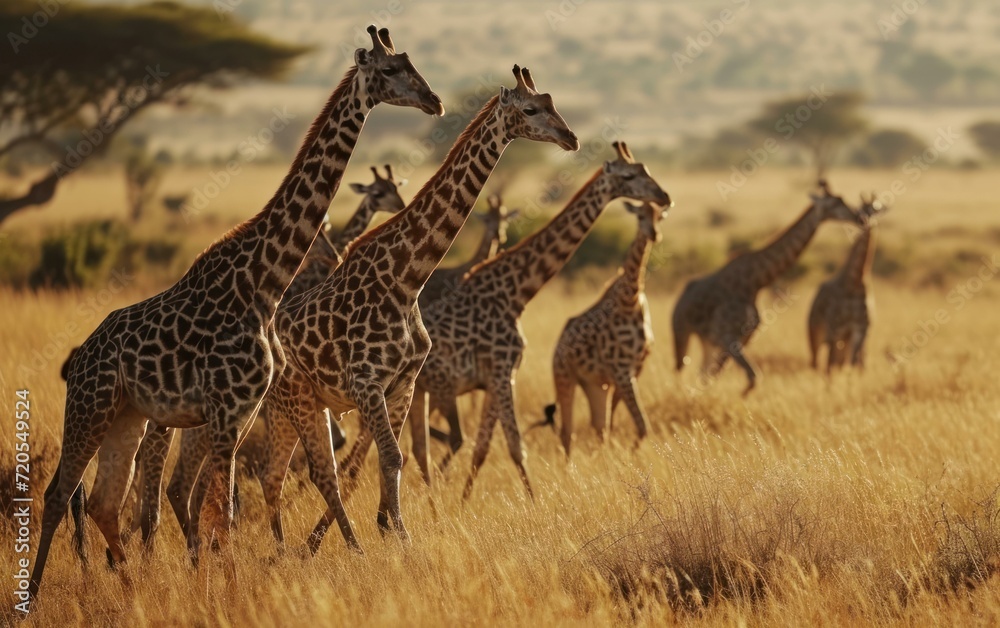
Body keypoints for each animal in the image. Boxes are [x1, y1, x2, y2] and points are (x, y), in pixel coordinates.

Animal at [28, 26, 443, 601]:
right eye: (388, 71)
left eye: (411, 63)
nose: (434, 101)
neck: (264, 281)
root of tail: (78, 359)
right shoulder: (225, 408)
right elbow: (220, 508)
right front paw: (227, 589)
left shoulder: (243, 410)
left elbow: (217, 506)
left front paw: (218, 581)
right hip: (90, 409)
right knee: (57, 493)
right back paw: (34, 597)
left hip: (127, 416)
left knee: (104, 503)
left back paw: (132, 589)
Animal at [263, 65, 579, 552]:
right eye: (530, 110)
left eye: (552, 102)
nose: (571, 138)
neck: (407, 279)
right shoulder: (368, 383)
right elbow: (392, 456)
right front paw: (400, 538)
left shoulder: (404, 384)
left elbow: (397, 458)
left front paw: (389, 527)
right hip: (297, 399)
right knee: (317, 471)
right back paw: (337, 548)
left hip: (294, 406)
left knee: (274, 474)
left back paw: (281, 552)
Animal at [545, 201, 671, 456]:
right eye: (640, 216)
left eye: (660, 217)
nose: (654, 234)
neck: (630, 299)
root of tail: (558, 346)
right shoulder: (621, 370)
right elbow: (642, 425)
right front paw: (630, 455)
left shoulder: (634, 369)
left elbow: (618, 424)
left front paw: (624, 455)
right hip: (563, 376)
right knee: (567, 432)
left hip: (595, 384)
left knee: (598, 426)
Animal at [671, 180, 862, 395]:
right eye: (835, 203)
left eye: (843, 200)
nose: (859, 217)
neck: (756, 281)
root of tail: (682, 295)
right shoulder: (726, 335)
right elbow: (753, 377)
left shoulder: (741, 337)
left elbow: (746, 377)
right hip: (681, 331)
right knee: (680, 369)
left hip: (707, 340)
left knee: (702, 372)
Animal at [808, 193, 886, 372]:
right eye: (860, 208)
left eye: (876, 210)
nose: (864, 220)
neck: (855, 283)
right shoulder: (835, 329)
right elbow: (831, 366)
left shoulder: (861, 330)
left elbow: (854, 364)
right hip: (816, 335)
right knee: (818, 364)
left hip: (844, 339)